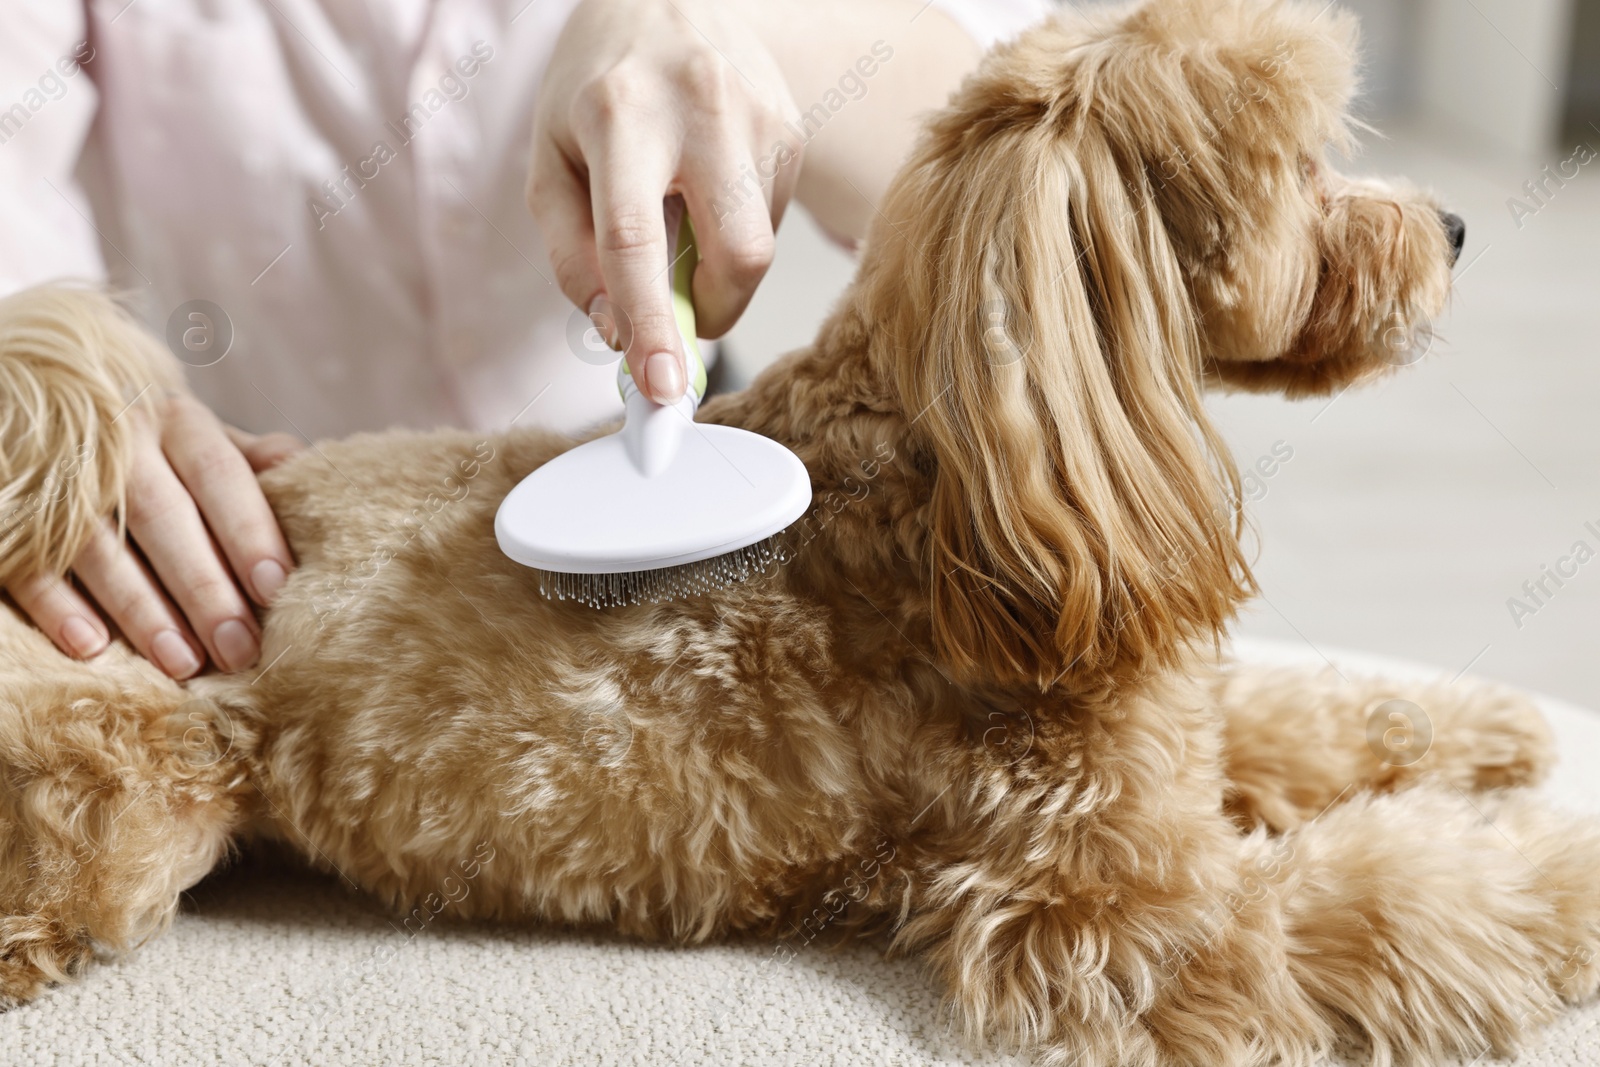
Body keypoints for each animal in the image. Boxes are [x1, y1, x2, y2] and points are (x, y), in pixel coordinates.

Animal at [0, 2, 1587, 1067]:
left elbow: (1315, 716)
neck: (952, 489)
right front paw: (1565, 876)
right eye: (1307, 169)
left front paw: (1492, 731)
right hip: (140, 799)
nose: (1453, 227)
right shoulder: (1121, 907)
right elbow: (1399, 897)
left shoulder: (1167, 728)